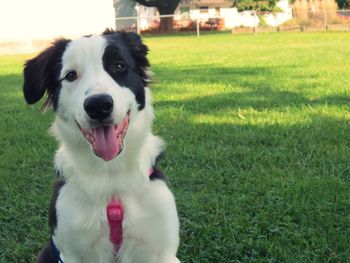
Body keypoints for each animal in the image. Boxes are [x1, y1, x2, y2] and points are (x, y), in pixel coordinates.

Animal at [23, 29, 180, 262]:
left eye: (118, 66)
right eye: (70, 75)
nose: (98, 105)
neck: (110, 173)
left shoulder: (160, 250)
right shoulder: (71, 252)